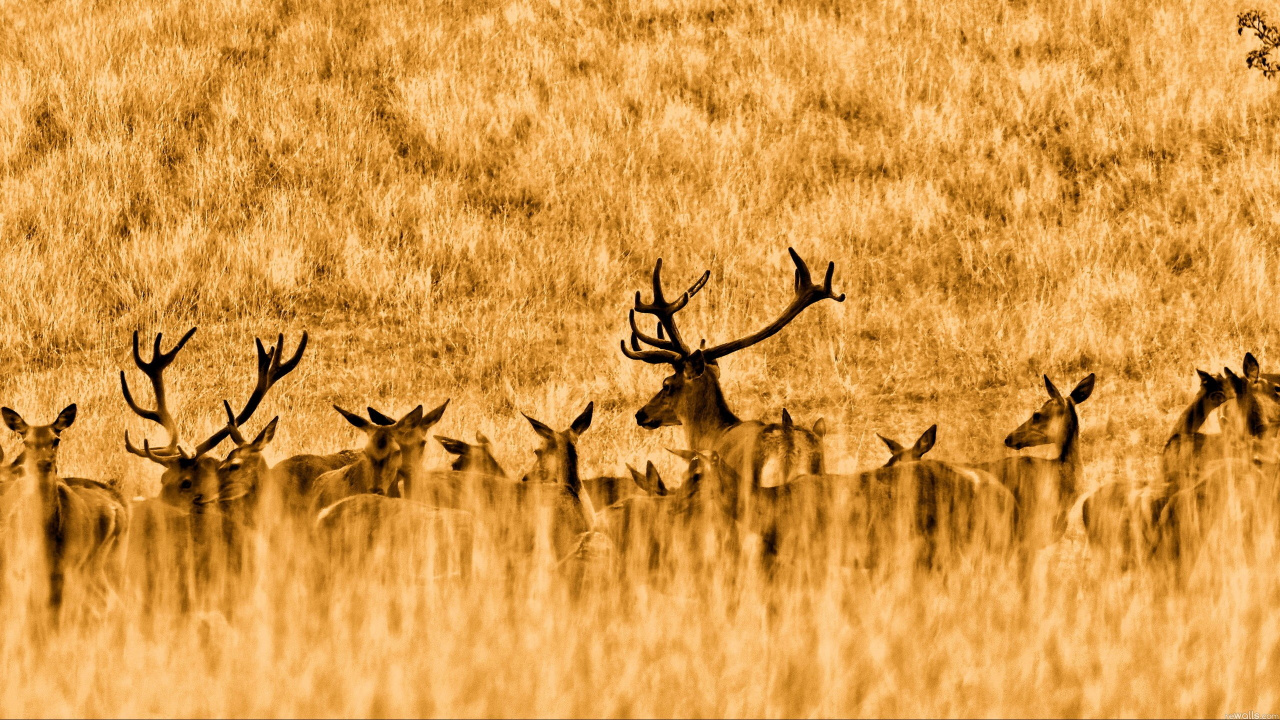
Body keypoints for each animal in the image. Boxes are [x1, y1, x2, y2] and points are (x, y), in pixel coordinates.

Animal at [0, 404, 129, 617]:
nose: (44, 462)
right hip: (110, 560)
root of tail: (118, 507)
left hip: (88, 565)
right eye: (26, 441)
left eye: (56, 439)